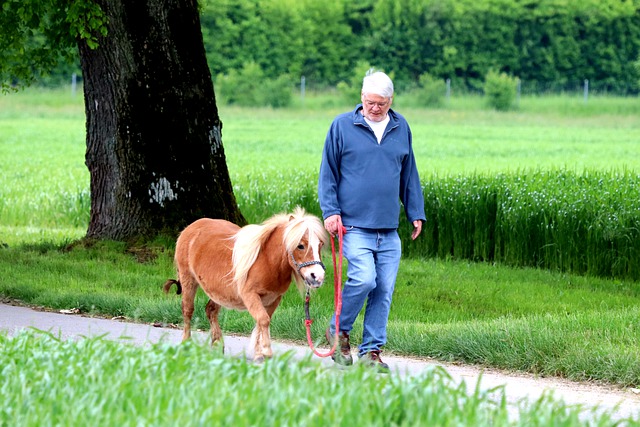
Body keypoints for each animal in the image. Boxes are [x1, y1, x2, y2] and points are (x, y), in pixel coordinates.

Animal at [162, 207, 328, 362]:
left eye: (320, 244)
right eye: (300, 245)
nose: (317, 276)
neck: (267, 260)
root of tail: (190, 228)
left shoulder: (274, 299)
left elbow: (261, 321)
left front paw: (259, 353)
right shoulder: (250, 295)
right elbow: (263, 320)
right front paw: (266, 351)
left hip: (218, 292)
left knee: (211, 310)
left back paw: (217, 345)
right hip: (188, 279)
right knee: (187, 310)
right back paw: (186, 344)